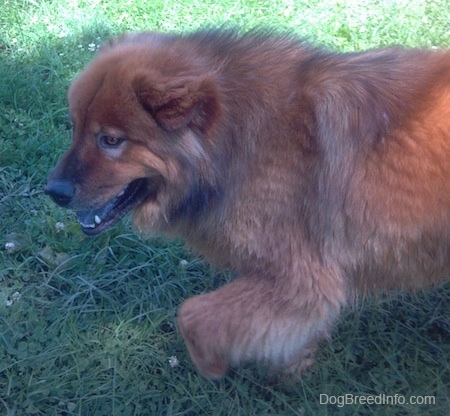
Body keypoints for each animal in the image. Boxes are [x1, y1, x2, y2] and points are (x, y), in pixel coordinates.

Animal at [46, 30, 450, 380]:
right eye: (74, 127)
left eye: (111, 140)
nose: (54, 191)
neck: (237, 141)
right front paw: (295, 362)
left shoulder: (304, 281)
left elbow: (192, 315)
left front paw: (211, 365)